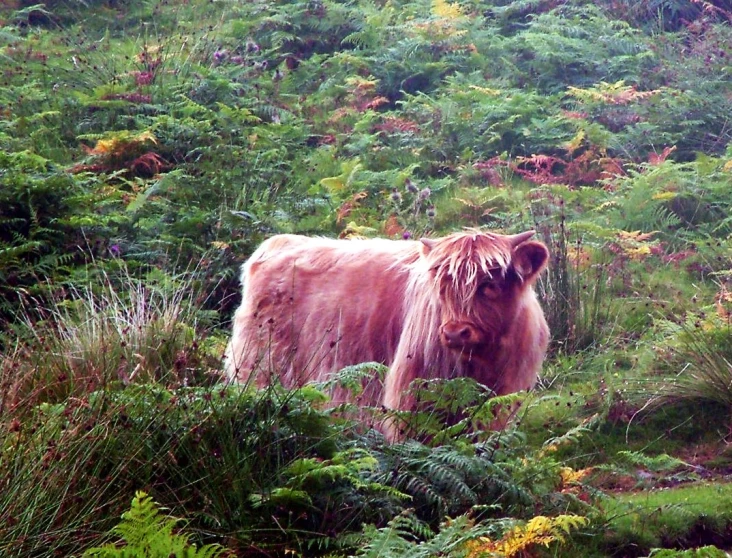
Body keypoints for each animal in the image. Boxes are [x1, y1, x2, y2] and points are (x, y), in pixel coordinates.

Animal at [223, 230, 548, 440]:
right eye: (442, 286)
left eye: (490, 284)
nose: (455, 332)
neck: (482, 362)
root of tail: (277, 243)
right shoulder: (413, 393)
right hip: (262, 367)